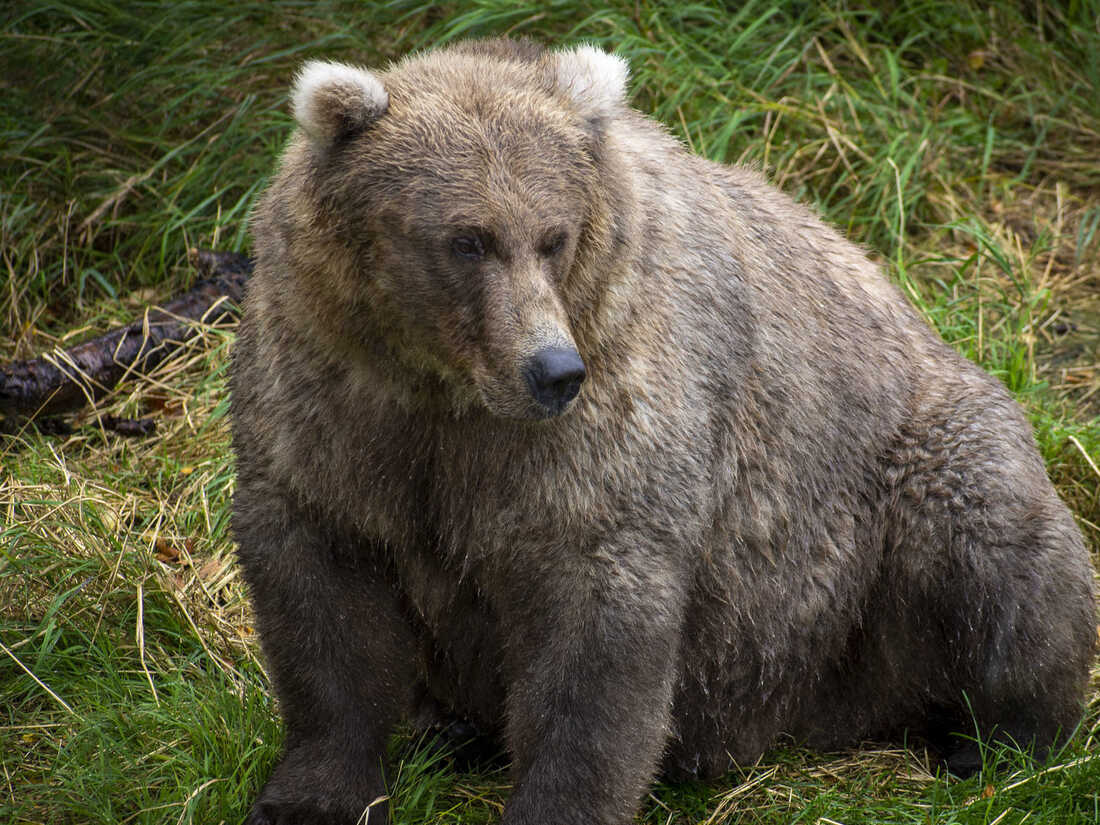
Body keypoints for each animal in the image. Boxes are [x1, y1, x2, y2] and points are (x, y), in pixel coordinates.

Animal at [227, 37, 1095, 825]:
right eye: (466, 239)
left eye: (554, 235)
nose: (551, 369)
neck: (446, 390)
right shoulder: (333, 407)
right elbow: (325, 608)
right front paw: (310, 796)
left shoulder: (604, 418)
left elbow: (595, 635)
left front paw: (557, 802)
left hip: (905, 481)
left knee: (996, 558)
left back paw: (998, 740)